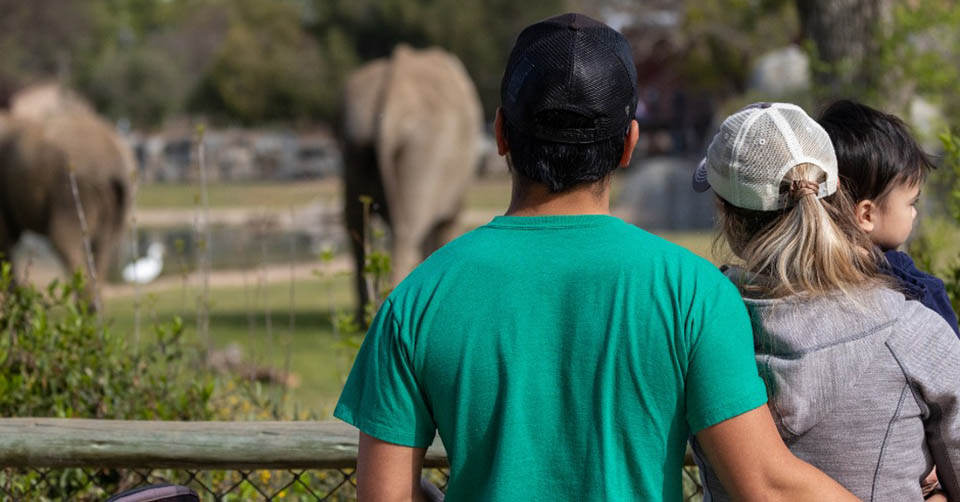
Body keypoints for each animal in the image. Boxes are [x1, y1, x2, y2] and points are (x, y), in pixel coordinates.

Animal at [342, 45, 484, 312]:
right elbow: (447, 223)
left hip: (355, 141)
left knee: (354, 222)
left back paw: (366, 312)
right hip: (425, 146)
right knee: (406, 229)